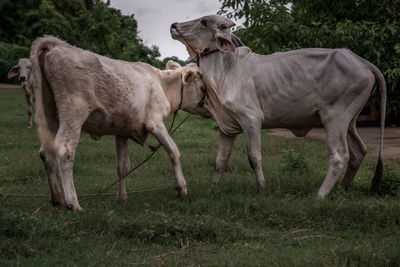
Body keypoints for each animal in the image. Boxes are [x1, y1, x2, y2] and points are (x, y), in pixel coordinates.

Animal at [30, 36, 211, 211]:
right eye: (203, 88)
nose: (210, 110)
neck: (163, 86)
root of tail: (56, 47)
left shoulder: (122, 131)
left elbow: (123, 166)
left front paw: (122, 198)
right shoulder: (155, 123)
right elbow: (174, 151)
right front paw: (181, 188)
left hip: (51, 115)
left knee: (46, 152)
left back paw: (57, 198)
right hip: (74, 112)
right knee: (64, 150)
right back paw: (73, 203)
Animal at [171, 15, 388, 199]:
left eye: (204, 22)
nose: (174, 25)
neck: (226, 70)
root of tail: (361, 61)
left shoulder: (251, 120)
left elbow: (254, 157)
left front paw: (262, 188)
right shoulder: (226, 126)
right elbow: (220, 161)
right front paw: (212, 190)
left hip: (335, 117)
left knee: (340, 155)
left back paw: (321, 195)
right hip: (349, 121)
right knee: (359, 152)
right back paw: (341, 188)